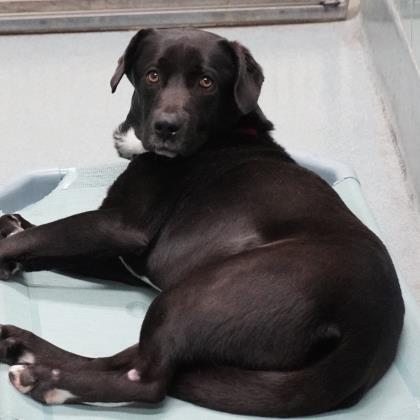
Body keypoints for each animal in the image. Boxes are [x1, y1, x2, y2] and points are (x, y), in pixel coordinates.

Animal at [0, 28, 404, 417]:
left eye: (206, 82)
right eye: (153, 75)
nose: (167, 127)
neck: (223, 134)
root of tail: (368, 330)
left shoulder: (119, 225)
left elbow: (44, 234)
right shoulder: (122, 259)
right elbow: (44, 241)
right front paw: (13, 232)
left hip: (194, 295)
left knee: (147, 380)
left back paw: (44, 381)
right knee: (126, 360)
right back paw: (21, 347)